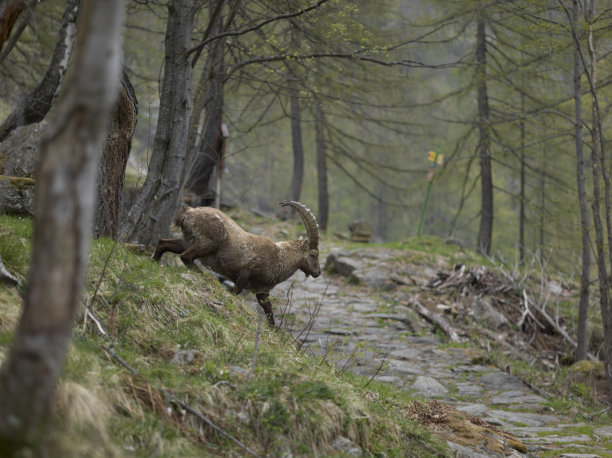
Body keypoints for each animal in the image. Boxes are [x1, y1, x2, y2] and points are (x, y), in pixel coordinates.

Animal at [153, 200, 320, 326]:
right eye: (313, 254)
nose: (318, 273)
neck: (279, 258)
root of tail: (190, 212)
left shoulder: (262, 291)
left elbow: (268, 309)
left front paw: (275, 331)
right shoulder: (245, 272)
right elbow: (236, 291)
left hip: (186, 240)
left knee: (163, 243)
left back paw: (153, 262)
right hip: (209, 243)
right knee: (185, 257)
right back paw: (206, 278)